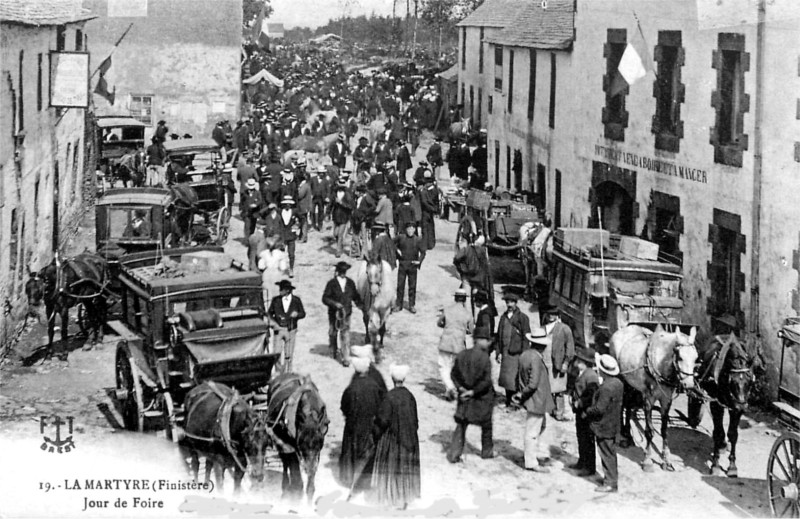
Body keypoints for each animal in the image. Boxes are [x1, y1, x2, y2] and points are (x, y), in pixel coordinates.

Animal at [264, 374, 330, 504]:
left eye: (319, 444)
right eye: (300, 444)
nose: (308, 468)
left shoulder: (316, 453)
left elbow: (309, 481)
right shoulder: (289, 447)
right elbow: (296, 476)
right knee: (285, 463)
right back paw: (285, 488)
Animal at [688, 336, 756, 478]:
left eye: (749, 381)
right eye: (732, 382)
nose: (742, 407)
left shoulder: (735, 409)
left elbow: (733, 434)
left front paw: (732, 466)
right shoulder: (716, 404)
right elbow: (718, 433)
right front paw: (715, 465)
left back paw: (723, 445)